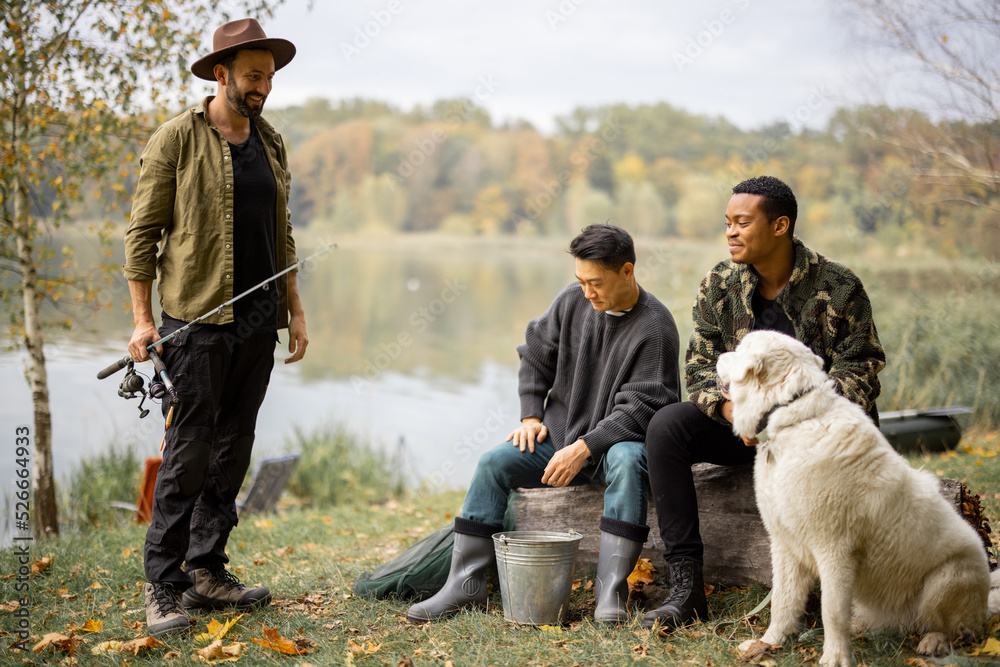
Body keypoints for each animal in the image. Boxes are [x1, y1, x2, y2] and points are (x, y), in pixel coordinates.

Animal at [720, 332, 1000, 664]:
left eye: (738, 349)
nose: (717, 357)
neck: (793, 417)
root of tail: (984, 606)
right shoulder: (785, 544)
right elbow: (782, 601)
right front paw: (768, 642)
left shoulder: (835, 551)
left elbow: (831, 611)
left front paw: (835, 657)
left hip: (946, 579)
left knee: (949, 627)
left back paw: (934, 641)